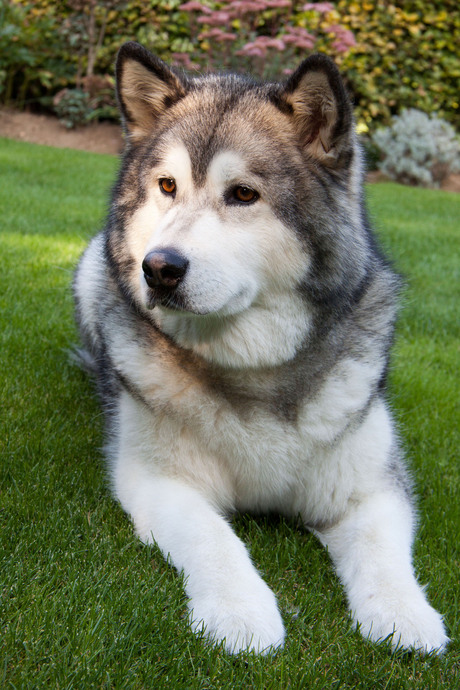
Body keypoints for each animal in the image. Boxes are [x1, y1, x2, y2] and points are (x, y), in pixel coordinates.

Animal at [73, 40, 450, 652]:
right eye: (167, 186)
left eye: (243, 194)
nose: (159, 268)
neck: (256, 370)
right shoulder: (159, 480)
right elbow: (214, 537)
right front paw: (240, 610)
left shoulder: (371, 487)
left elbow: (382, 550)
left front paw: (403, 614)